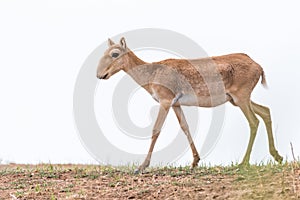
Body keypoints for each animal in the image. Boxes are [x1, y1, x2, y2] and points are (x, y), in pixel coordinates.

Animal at [97, 38, 282, 173]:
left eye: (114, 53)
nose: (100, 74)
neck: (152, 73)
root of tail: (258, 65)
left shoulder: (165, 101)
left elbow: (156, 130)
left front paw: (141, 166)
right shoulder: (176, 105)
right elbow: (185, 127)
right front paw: (195, 161)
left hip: (242, 98)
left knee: (254, 121)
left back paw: (244, 162)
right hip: (236, 100)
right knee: (266, 111)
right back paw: (277, 156)